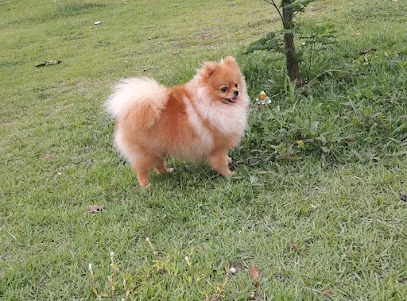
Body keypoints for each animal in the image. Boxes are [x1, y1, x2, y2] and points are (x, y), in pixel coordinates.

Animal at [105, 56, 250, 186]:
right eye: (224, 88)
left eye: (236, 84)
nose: (236, 92)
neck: (210, 103)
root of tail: (127, 115)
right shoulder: (216, 146)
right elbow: (221, 162)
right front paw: (230, 175)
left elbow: (225, 158)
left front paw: (229, 161)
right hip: (145, 152)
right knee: (142, 171)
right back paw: (145, 186)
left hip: (157, 148)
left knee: (159, 165)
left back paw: (167, 172)